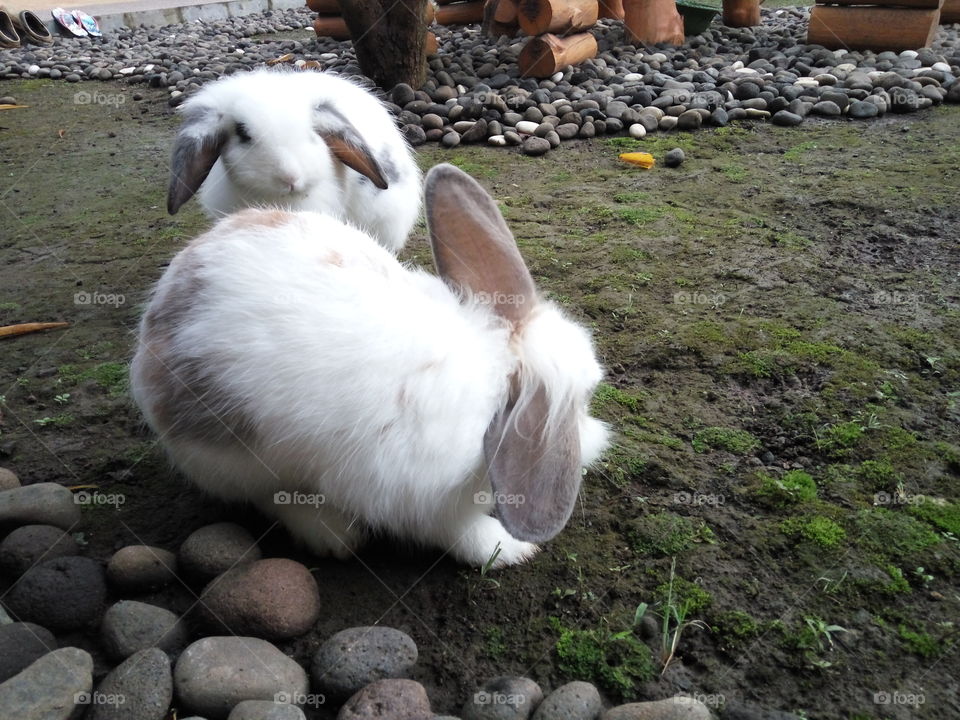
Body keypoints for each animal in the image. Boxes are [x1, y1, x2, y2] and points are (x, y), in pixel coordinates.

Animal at [131, 163, 610, 568]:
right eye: (582, 401)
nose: (596, 442)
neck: (493, 367)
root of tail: (159, 309)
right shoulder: (423, 499)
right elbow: (459, 533)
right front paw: (511, 549)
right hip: (231, 457)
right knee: (270, 495)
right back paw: (331, 533)